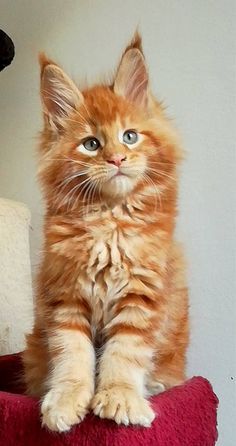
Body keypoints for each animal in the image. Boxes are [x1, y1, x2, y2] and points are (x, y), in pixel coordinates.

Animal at [23, 34, 189, 432]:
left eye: (129, 136)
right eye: (91, 144)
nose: (116, 159)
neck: (110, 224)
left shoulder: (142, 295)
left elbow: (124, 354)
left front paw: (120, 399)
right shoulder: (65, 296)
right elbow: (72, 354)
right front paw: (67, 400)